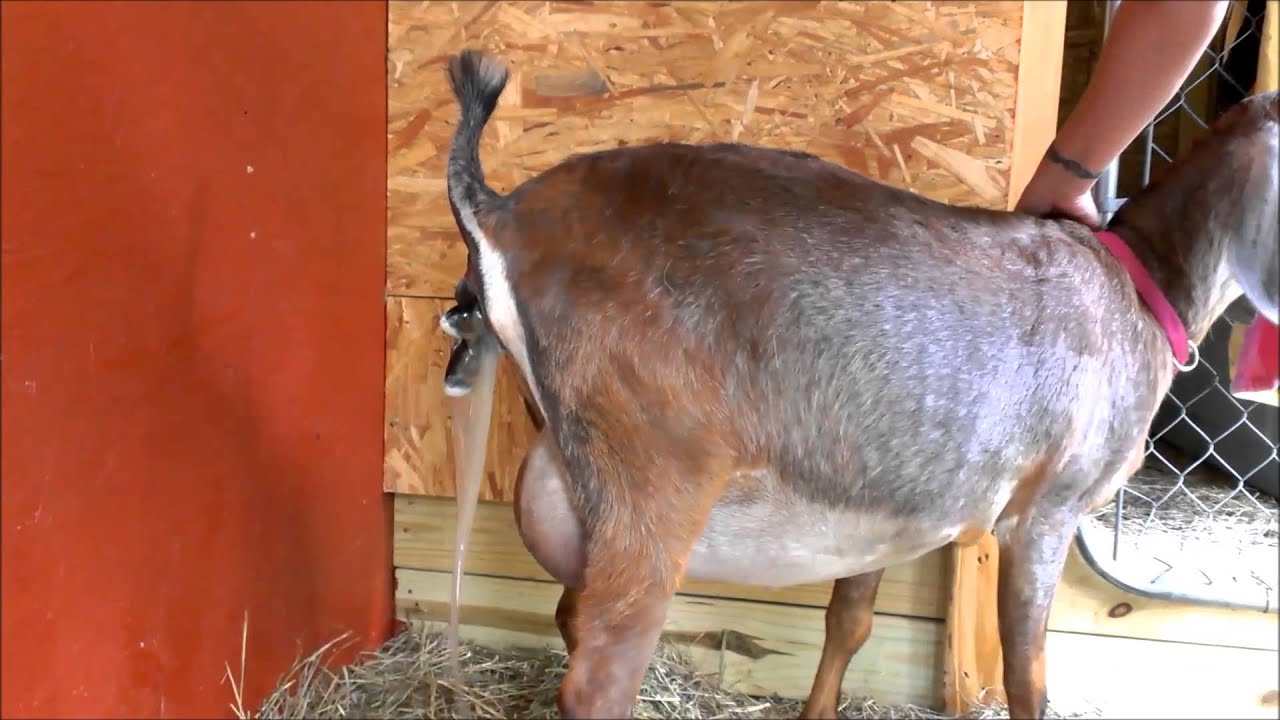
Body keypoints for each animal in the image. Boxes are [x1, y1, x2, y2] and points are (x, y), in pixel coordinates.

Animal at [437, 49, 1279, 719]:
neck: (1143, 286)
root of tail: (502, 214)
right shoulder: (1047, 509)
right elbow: (1028, 679)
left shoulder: (889, 505)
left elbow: (851, 621)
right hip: (653, 478)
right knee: (599, 679)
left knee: (571, 617)